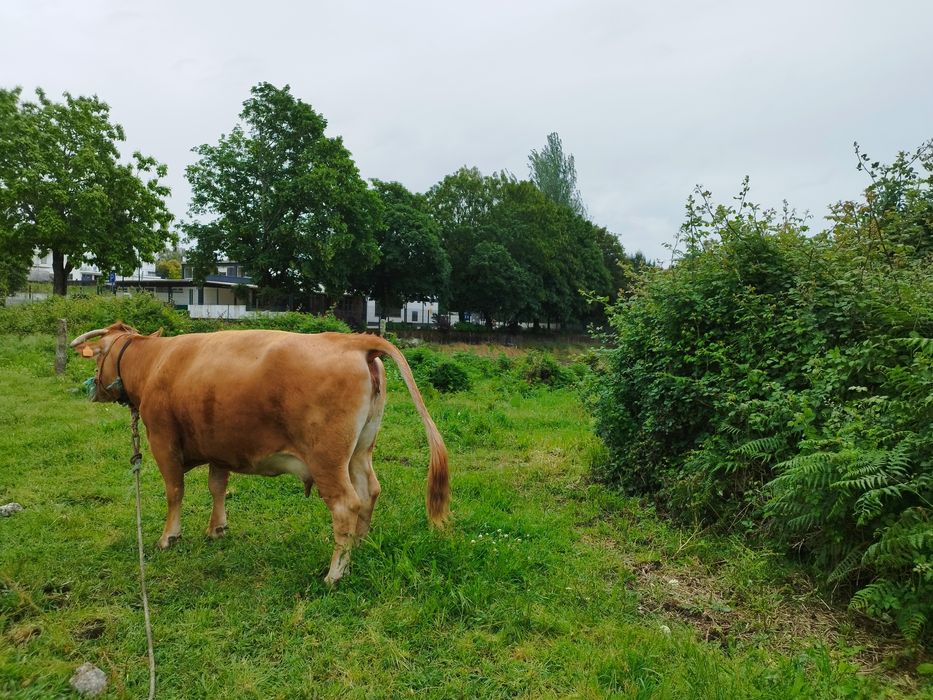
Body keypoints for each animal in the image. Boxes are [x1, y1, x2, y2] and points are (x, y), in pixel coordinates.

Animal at [71, 322, 449, 585]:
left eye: (99, 355)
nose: (93, 388)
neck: (156, 362)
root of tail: (353, 340)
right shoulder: (219, 447)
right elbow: (217, 486)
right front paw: (217, 529)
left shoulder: (163, 440)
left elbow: (175, 491)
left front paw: (169, 537)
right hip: (360, 450)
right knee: (369, 491)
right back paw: (362, 545)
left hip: (327, 460)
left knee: (346, 504)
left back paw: (335, 574)